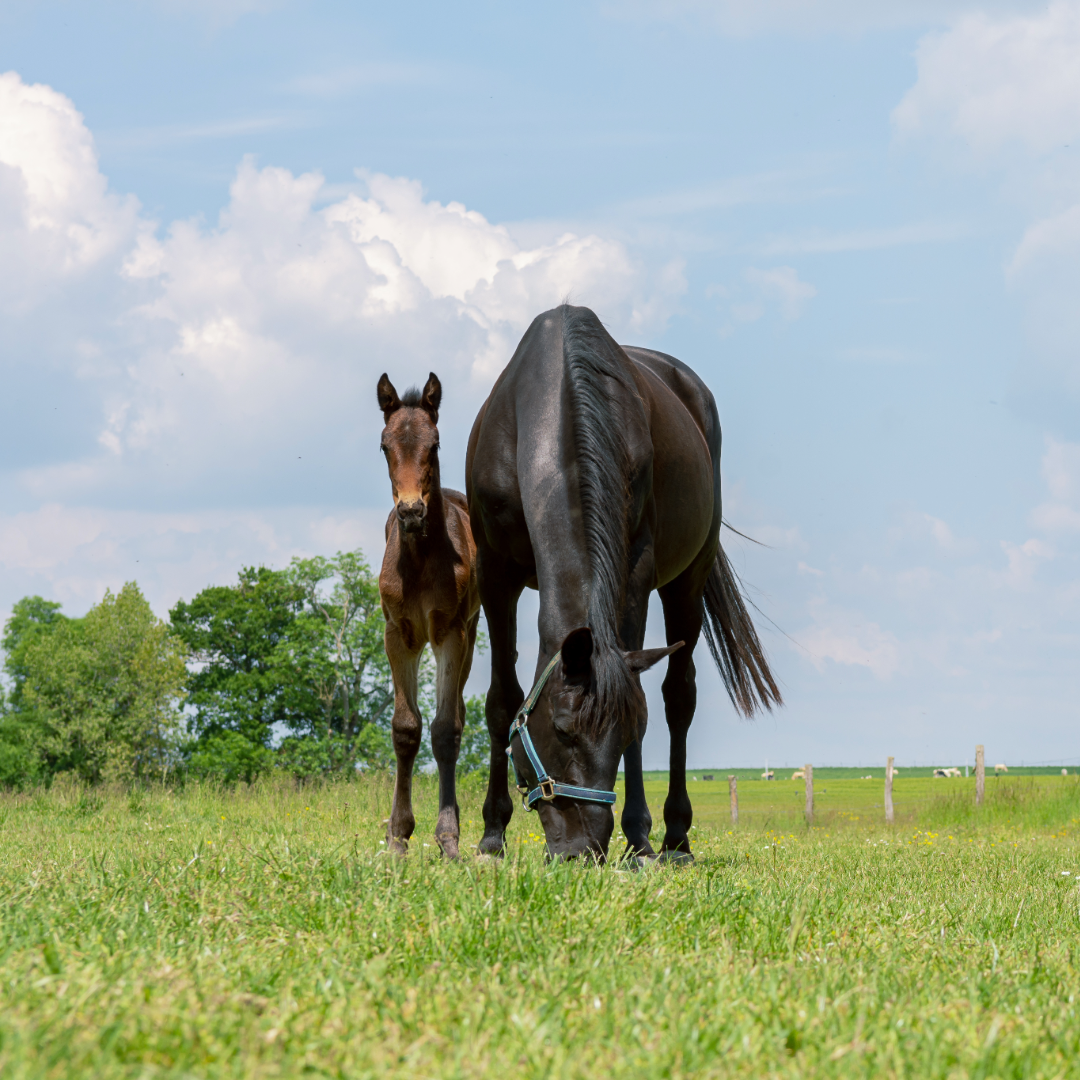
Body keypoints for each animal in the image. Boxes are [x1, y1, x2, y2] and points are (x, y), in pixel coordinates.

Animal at [468, 306, 781, 859]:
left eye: (623, 732)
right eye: (562, 730)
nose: (582, 849)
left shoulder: (635, 570)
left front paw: (638, 838)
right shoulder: (494, 572)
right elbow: (502, 698)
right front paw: (491, 836)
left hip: (687, 581)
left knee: (679, 696)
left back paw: (675, 838)